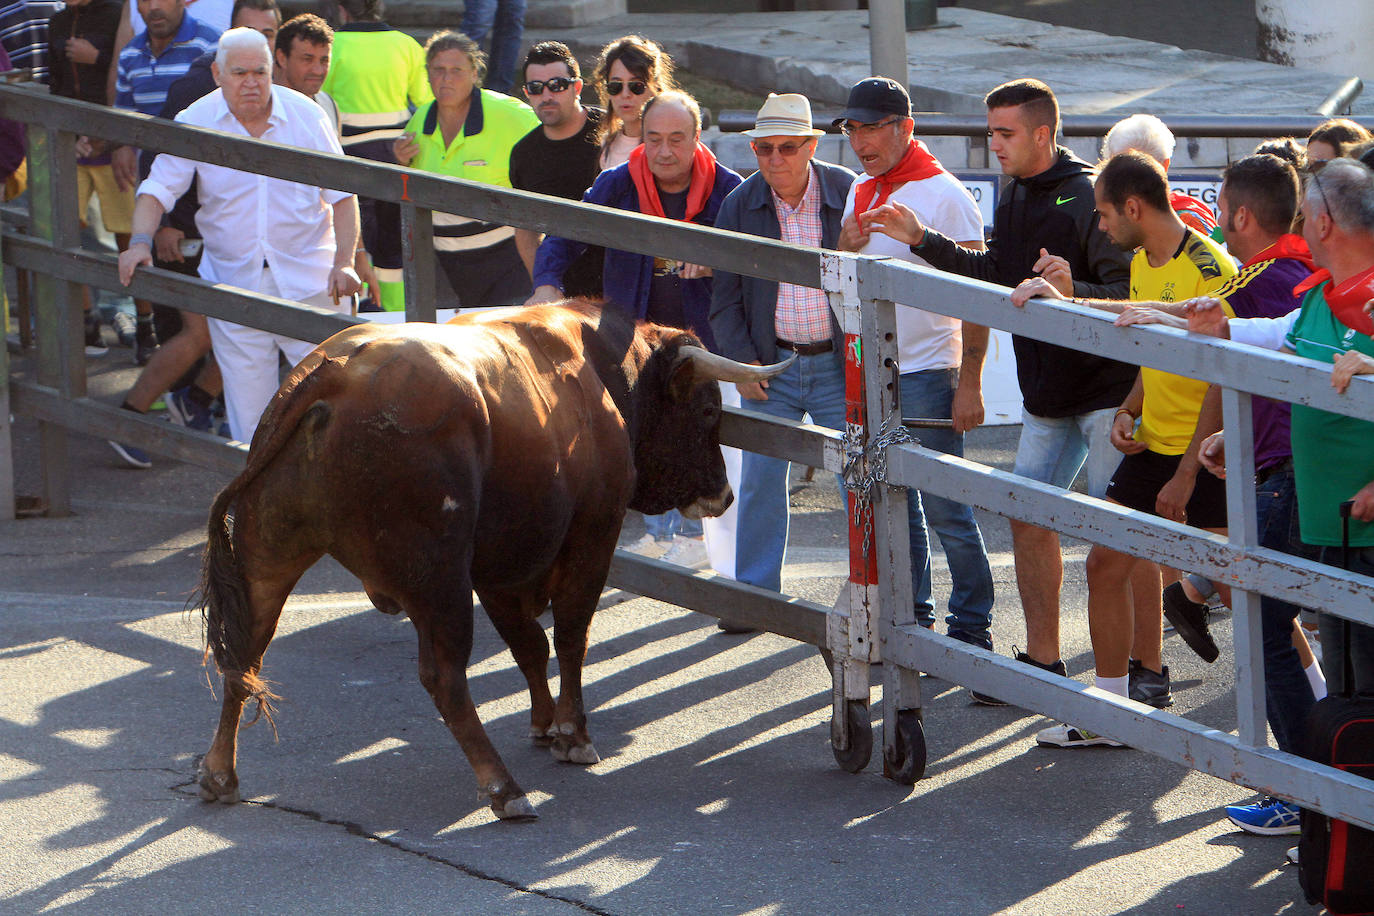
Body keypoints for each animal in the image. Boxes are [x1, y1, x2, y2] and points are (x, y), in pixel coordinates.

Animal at [196, 304, 796, 818]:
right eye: (708, 410)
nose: (724, 495)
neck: (597, 373)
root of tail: (334, 375)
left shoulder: (498, 566)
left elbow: (528, 644)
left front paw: (544, 724)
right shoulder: (590, 538)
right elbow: (571, 636)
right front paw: (573, 734)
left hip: (268, 557)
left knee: (243, 655)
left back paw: (219, 774)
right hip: (437, 580)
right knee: (444, 677)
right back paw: (504, 788)